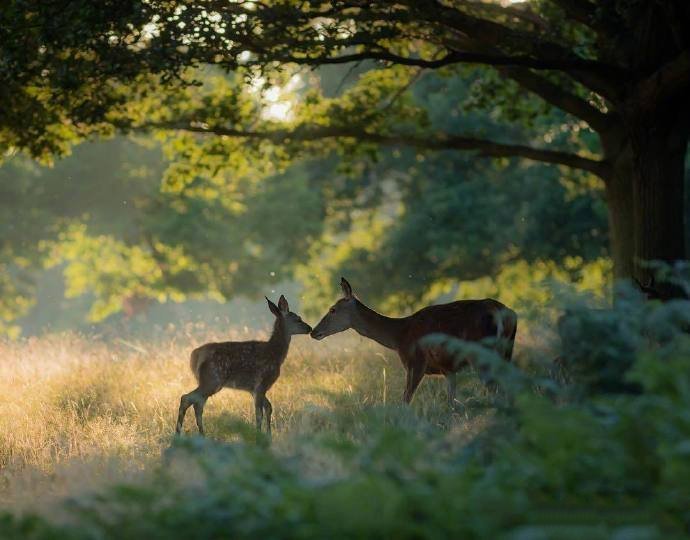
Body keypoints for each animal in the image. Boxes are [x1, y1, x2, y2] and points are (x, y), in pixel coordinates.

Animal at [176, 296, 310, 438]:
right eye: (298, 319)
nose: (310, 328)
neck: (276, 354)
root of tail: (194, 356)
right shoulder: (261, 383)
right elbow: (259, 414)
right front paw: (259, 435)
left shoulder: (254, 389)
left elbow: (268, 407)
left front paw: (268, 435)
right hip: (212, 379)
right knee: (187, 398)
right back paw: (179, 434)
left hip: (207, 381)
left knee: (197, 404)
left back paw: (201, 435)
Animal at [310, 278, 512, 404]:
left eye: (333, 309)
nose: (314, 331)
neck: (399, 337)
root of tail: (498, 310)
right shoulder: (448, 368)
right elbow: (451, 402)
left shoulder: (415, 362)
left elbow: (405, 400)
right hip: (506, 351)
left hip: (481, 354)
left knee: (496, 389)